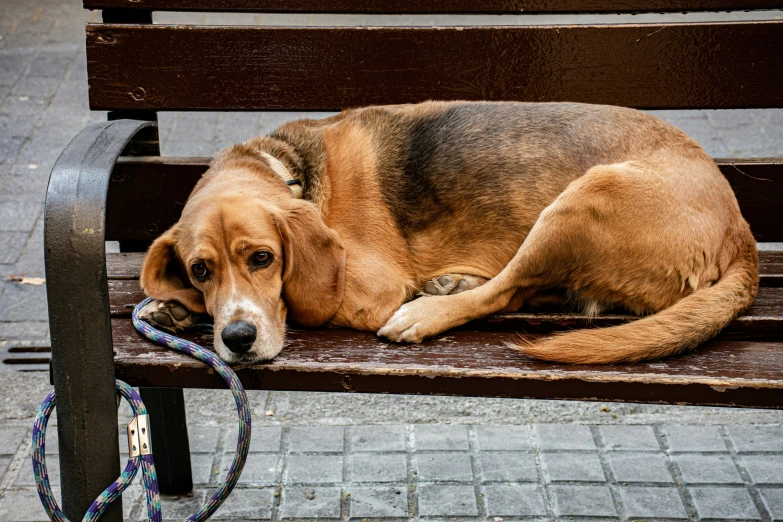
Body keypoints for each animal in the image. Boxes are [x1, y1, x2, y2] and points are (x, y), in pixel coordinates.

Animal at [141, 100, 760, 362]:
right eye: (200, 270)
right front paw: (172, 308)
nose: (237, 340)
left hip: (583, 198)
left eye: (263, 258)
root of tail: (741, 231)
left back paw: (429, 310)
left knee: (508, 289)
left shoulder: (368, 289)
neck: (287, 171)